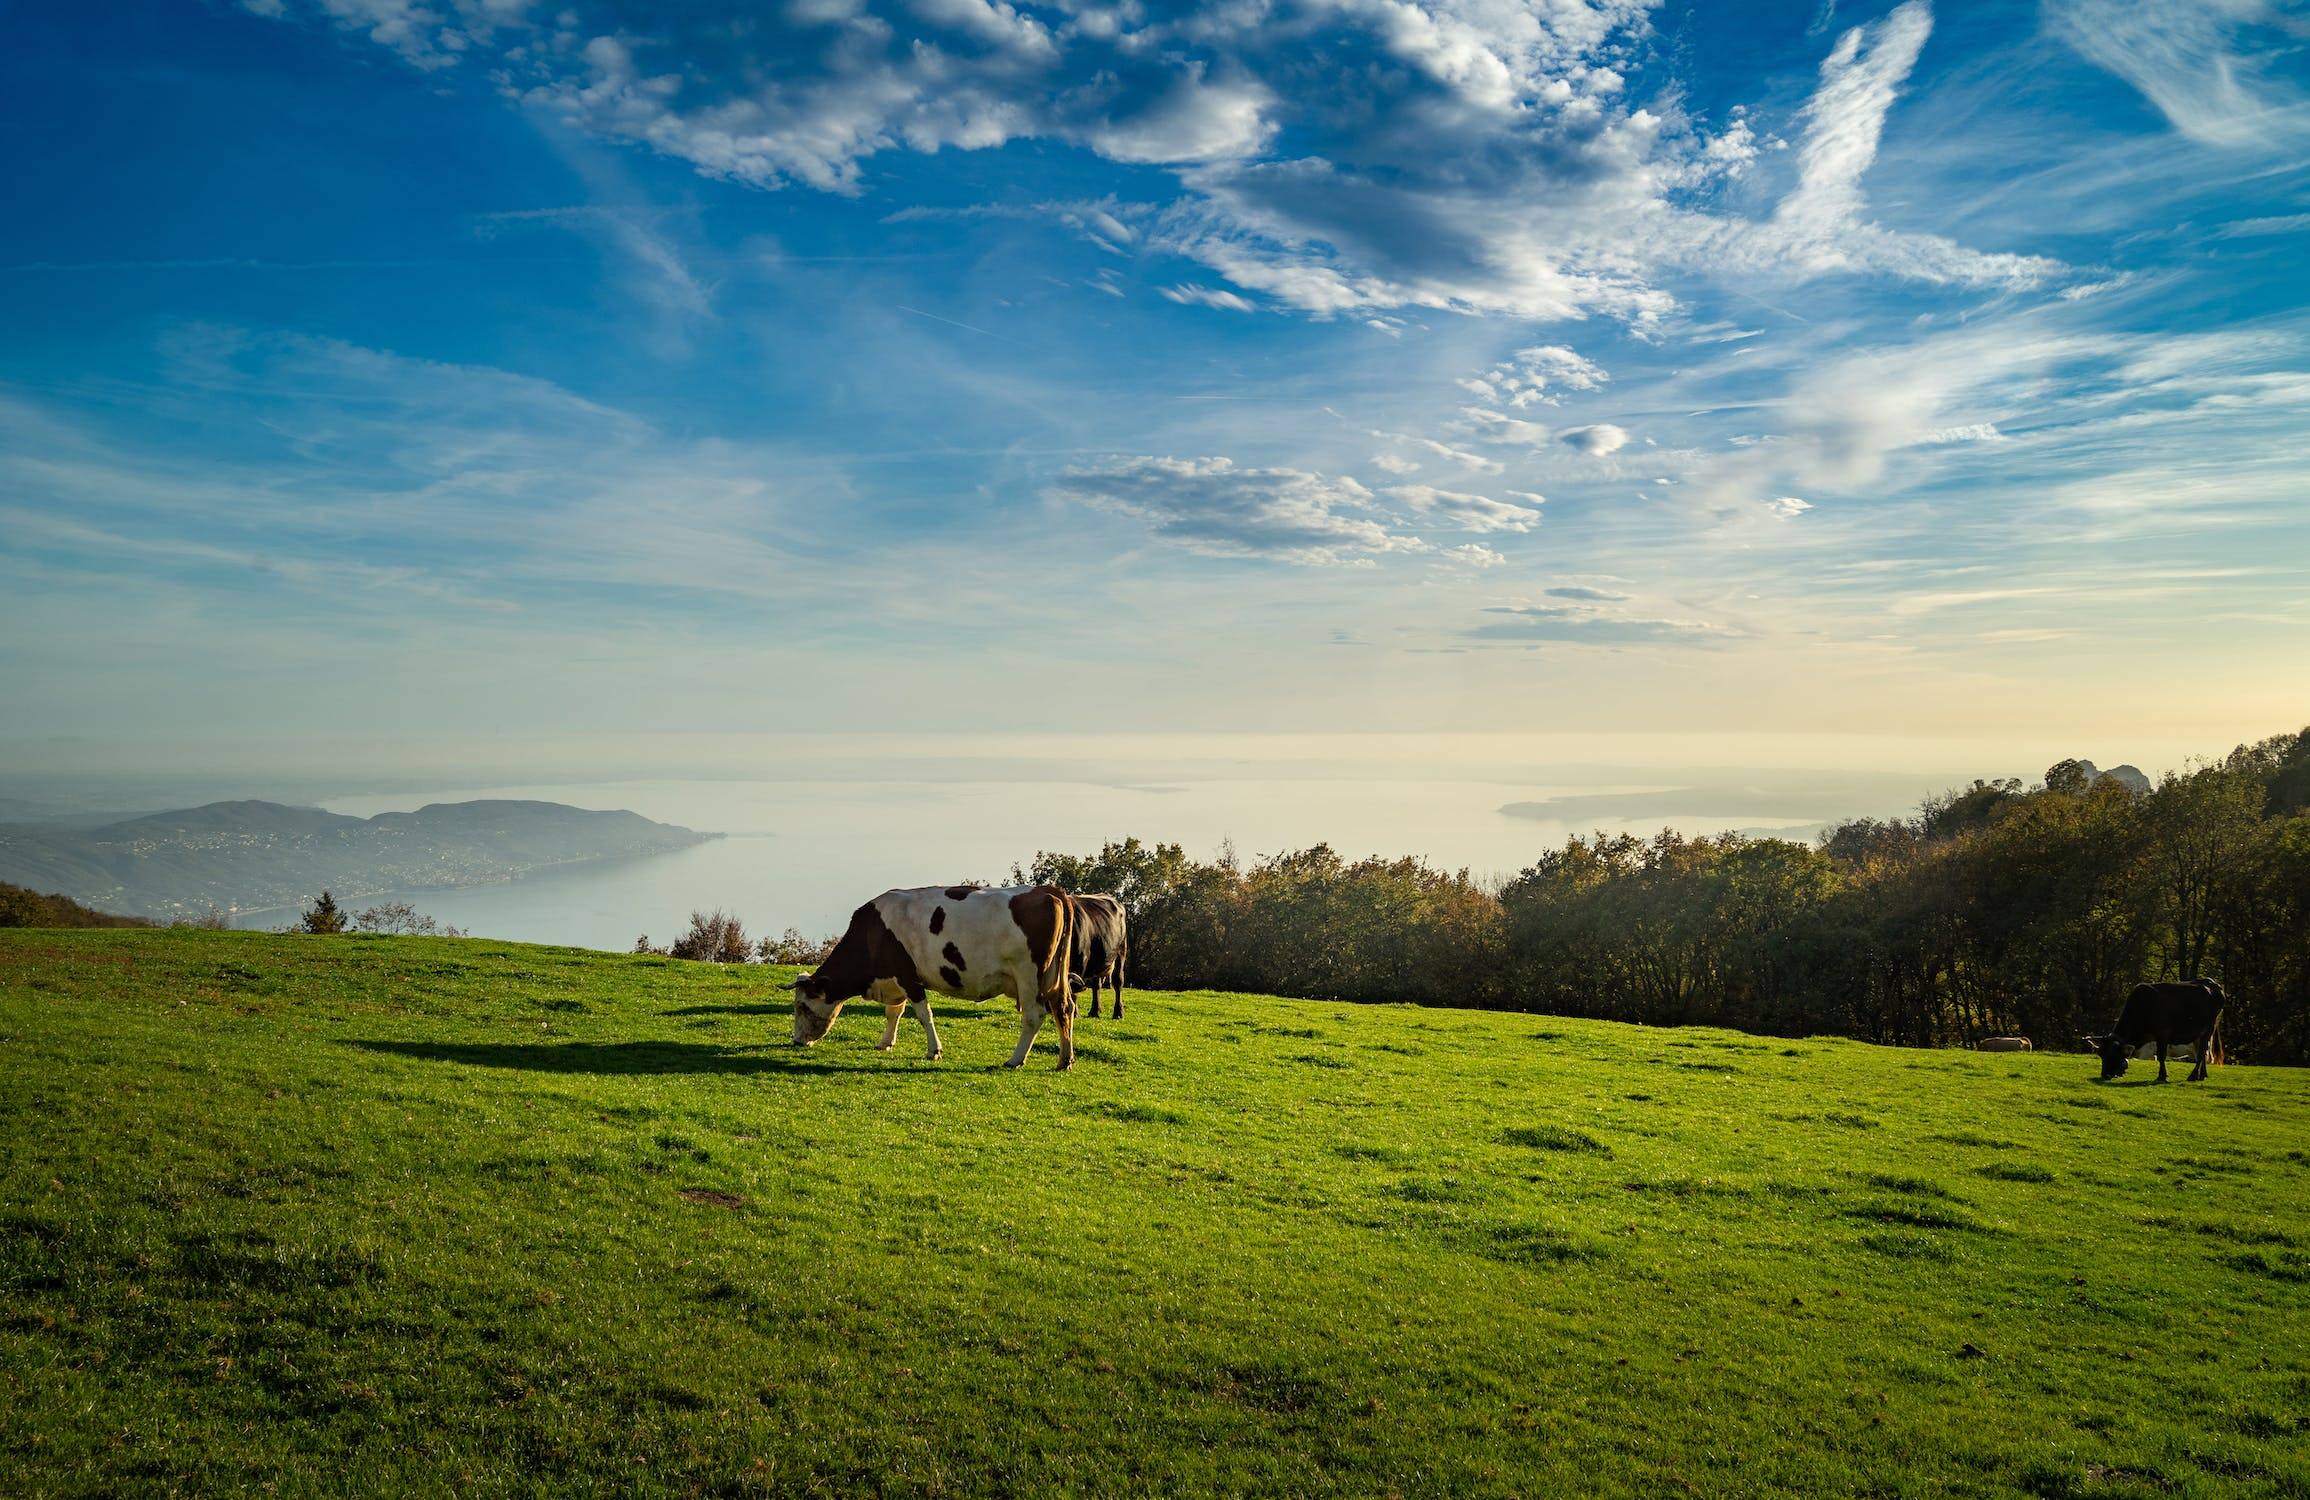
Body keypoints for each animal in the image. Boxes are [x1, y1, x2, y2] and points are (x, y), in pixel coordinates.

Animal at [794, 882, 1081, 1072]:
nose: (796, 1041)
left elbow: (924, 1015)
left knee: (1034, 1015)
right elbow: (893, 1012)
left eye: (802, 1006)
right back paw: (1064, 1060)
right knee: (1064, 1008)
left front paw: (934, 1050)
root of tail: (1048, 890)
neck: (873, 934)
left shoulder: (908, 977)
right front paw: (885, 1042)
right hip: (1054, 978)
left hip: (1028, 975)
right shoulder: (894, 978)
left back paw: (1015, 1059)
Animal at [1067, 887, 1131, 1016]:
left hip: (1121, 951)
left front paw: (1074, 1013)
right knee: (1096, 985)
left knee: (1118, 982)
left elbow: (1073, 991)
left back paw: (1118, 1012)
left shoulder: (1080, 962)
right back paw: (1095, 1010)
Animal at [2088, 975, 2226, 1081]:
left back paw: (2193, 1076)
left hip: (2208, 1028)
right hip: (2199, 1033)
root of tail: (2213, 984)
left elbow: (2161, 1056)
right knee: (2202, 1053)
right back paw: (2202, 1075)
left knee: (2202, 1052)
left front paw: (2162, 1076)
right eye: (2101, 1054)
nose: (2105, 1075)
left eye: (2113, 1054)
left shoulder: (2163, 1034)